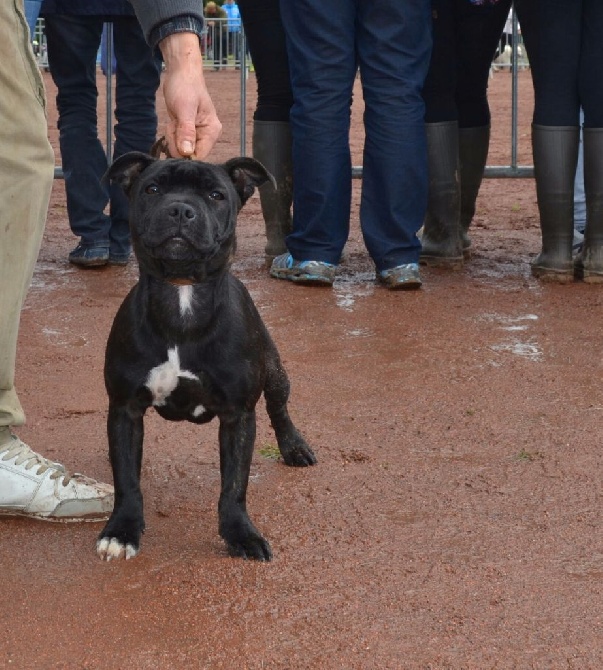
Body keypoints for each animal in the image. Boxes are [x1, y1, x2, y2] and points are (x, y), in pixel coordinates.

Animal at [95, 151, 316, 560]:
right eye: (152, 189)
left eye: (216, 195)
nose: (181, 209)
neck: (182, 294)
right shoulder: (125, 408)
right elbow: (127, 480)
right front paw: (122, 531)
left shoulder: (238, 415)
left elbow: (234, 486)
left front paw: (241, 534)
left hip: (275, 372)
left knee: (279, 408)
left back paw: (294, 446)